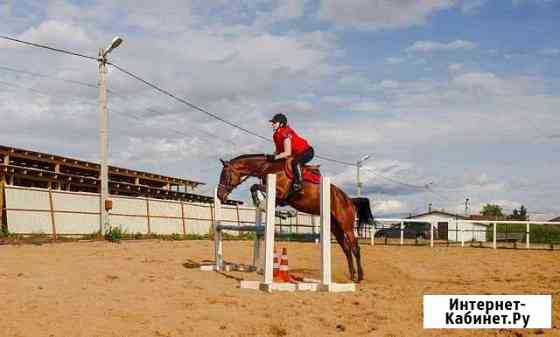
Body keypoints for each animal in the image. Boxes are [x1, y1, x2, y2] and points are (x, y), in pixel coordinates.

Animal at [215, 153, 368, 280]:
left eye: (225, 175)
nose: (220, 196)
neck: (267, 167)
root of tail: (348, 199)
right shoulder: (279, 197)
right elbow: (258, 191)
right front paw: (278, 212)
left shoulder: (280, 192)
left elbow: (254, 186)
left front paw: (264, 204)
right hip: (335, 227)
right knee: (346, 249)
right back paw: (352, 275)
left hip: (346, 225)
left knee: (355, 247)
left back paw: (360, 276)